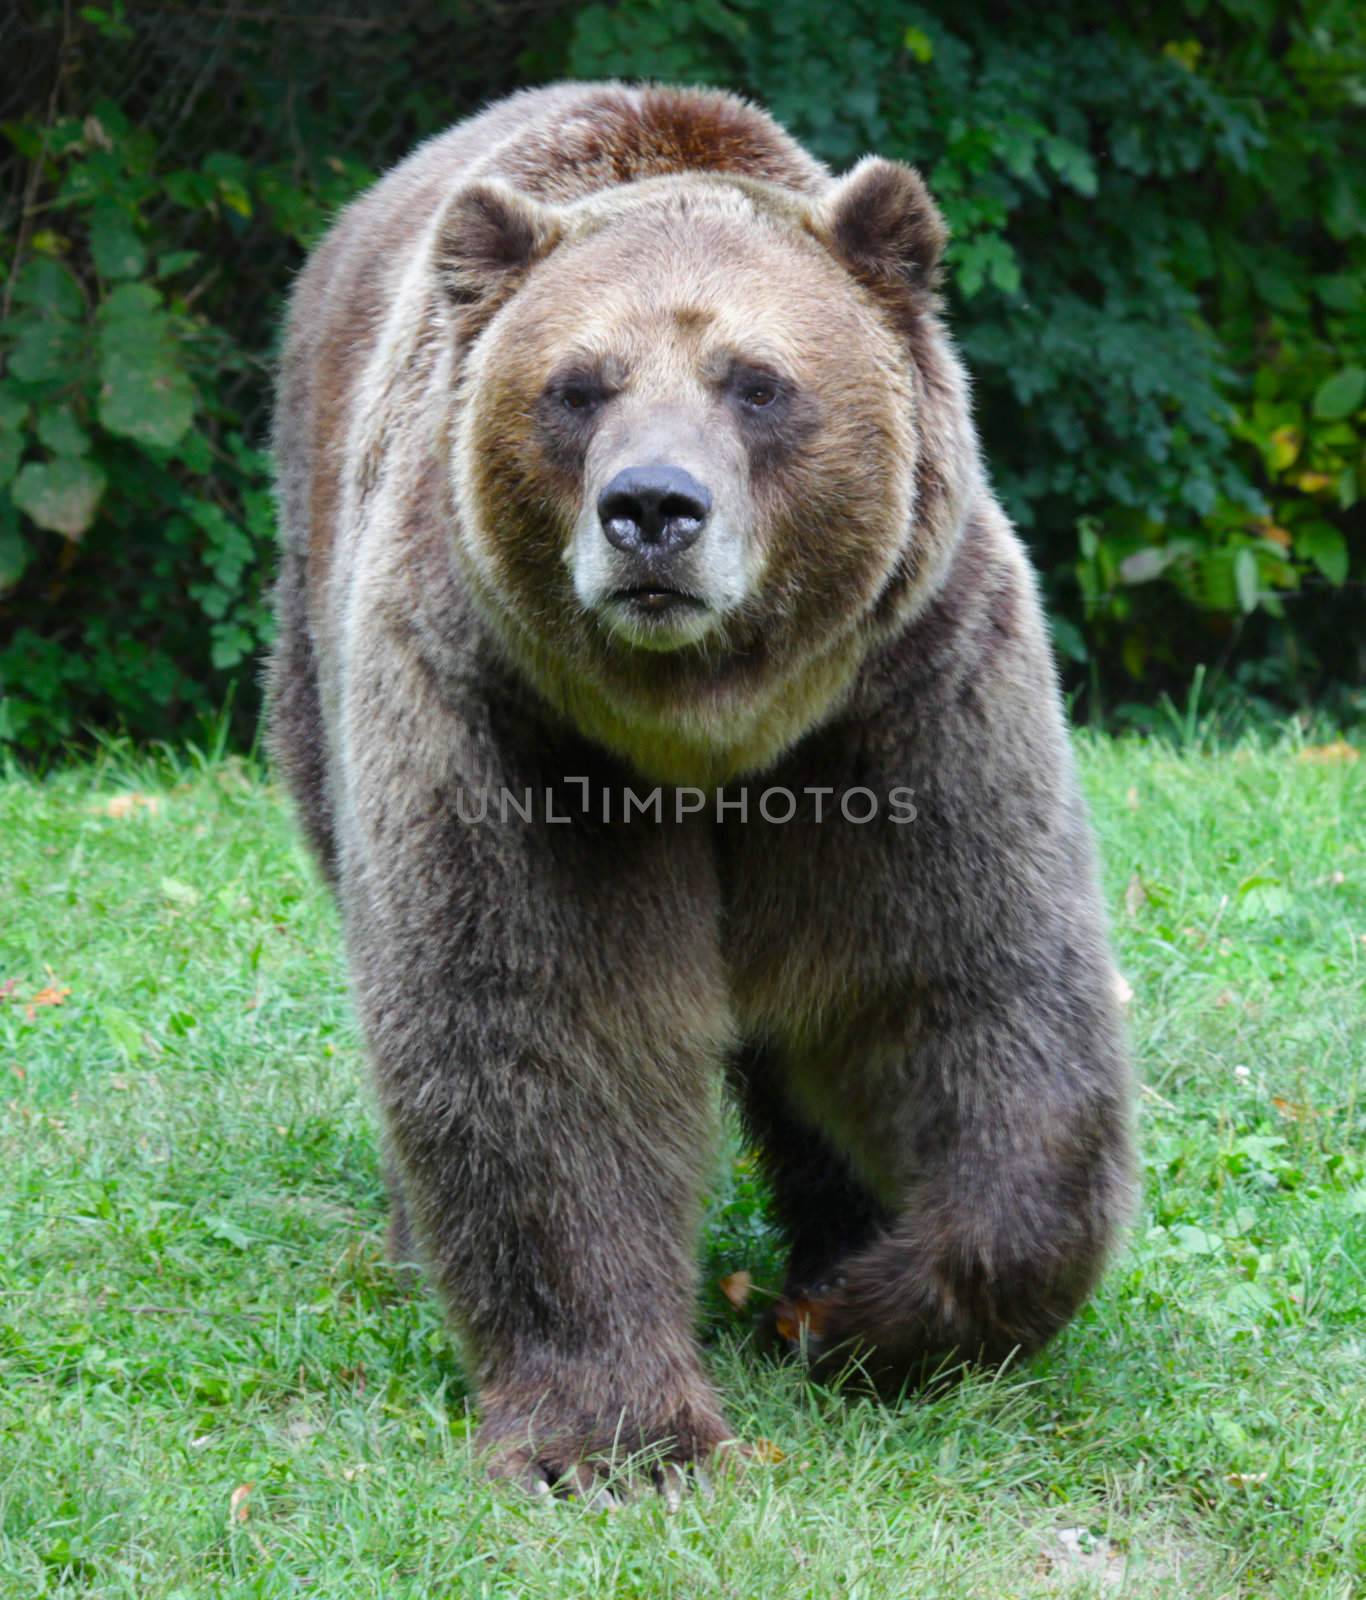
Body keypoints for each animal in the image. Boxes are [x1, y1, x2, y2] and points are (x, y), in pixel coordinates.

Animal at [265, 78, 1132, 1497]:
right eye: (577, 385)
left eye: (758, 382)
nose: (652, 509)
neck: (708, 733)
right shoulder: (516, 733)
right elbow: (542, 1028)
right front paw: (614, 1434)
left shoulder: (901, 709)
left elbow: (974, 993)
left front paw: (858, 1307)